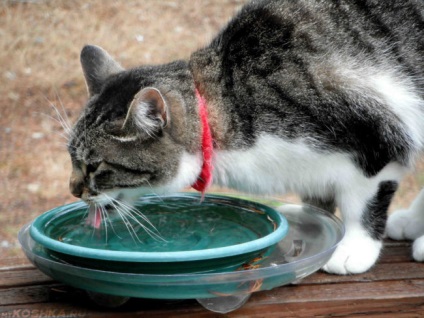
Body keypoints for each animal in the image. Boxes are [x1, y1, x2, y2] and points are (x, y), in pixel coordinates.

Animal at [66, 0, 424, 274]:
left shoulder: (376, 140)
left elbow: (363, 203)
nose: (73, 190)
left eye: (95, 167)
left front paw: (354, 248)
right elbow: (318, 202)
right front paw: (311, 223)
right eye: (71, 156)